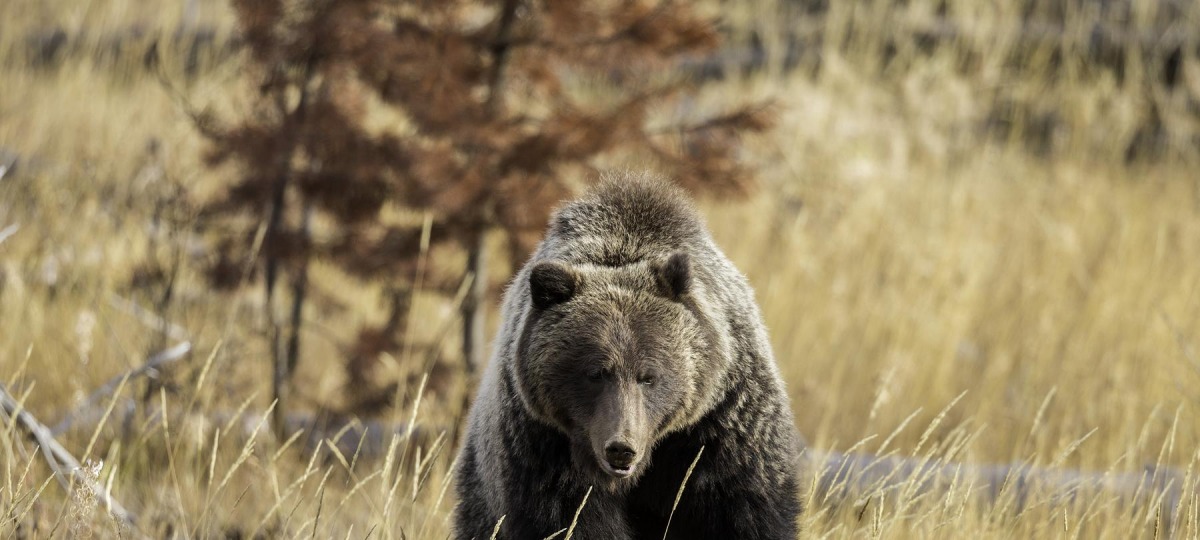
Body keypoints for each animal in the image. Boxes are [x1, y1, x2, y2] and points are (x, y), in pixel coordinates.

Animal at [453, 174, 801, 540]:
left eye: (649, 376)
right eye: (594, 373)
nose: (621, 448)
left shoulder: (721, 427)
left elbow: (744, 511)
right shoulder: (542, 444)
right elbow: (568, 520)